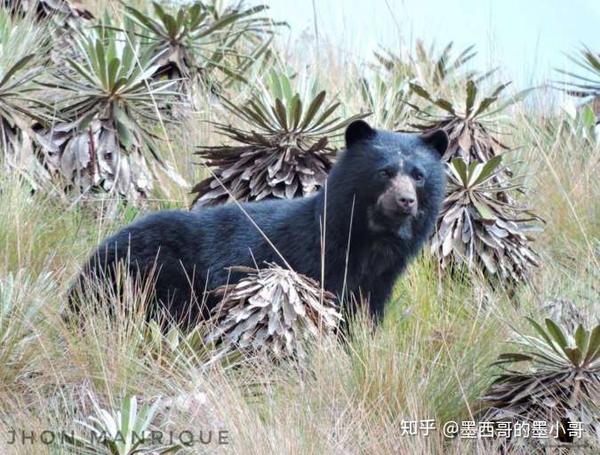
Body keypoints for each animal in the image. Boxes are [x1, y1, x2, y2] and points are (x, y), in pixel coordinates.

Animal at [71, 121, 446, 328]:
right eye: (384, 172)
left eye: (419, 176)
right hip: (151, 271)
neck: (368, 244)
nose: (406, 201)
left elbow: (362, 318)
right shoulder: (307, 264)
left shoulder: (377, 284)